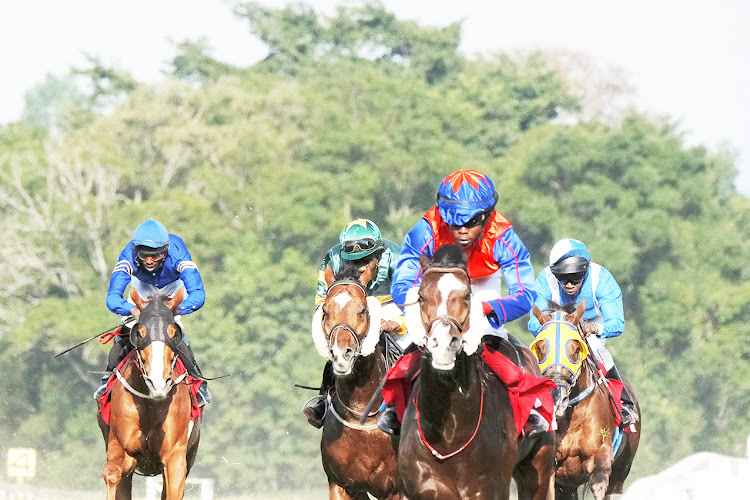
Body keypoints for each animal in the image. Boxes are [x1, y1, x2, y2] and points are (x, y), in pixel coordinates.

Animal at [98, 290, 201, 500]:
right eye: (140, 333)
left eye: (173, 333)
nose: (158, 383)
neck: (150, 407)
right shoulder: (121, 448)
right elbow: (113, 472)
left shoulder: (175, 457)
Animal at [310, 260, 400, 498]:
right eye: (325, 311)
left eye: (362, 310)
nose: (342, 355)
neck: (362, 414)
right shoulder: (341, 485)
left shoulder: (394, 489)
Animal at [400, 246, 560, 500]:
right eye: (421, 297)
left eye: (467, 295)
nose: (442, 345)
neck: (450, 433)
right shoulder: (416, 487)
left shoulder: (490, 489)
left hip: (539, 467)